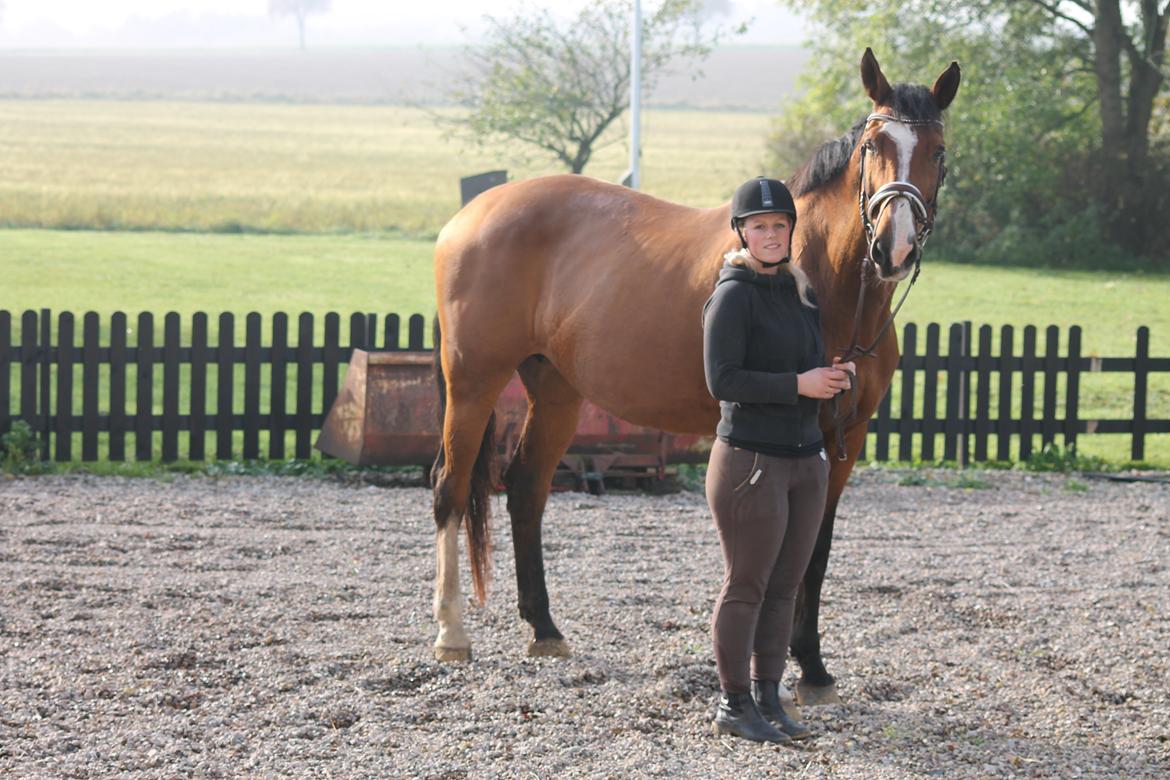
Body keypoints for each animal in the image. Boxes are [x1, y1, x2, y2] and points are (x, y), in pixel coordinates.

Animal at [430, 50, 959, 706]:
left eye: (937, 151)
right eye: (872, 145)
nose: (895, 247)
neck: (816, 279)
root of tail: (471, 213)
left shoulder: (847, 438)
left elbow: (816, 547)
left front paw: (812, 669)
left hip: (554, 390)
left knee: (526, 487)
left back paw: (545, 629)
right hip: (473, 381)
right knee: (451, 488)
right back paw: (452, 634)